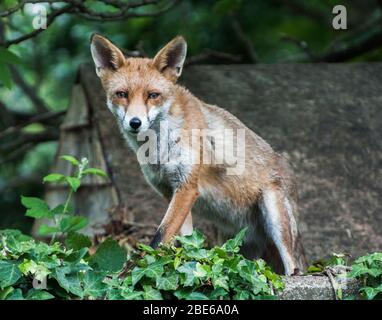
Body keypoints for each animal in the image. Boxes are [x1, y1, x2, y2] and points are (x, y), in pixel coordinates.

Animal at [90, 34, 308, 276]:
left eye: (153, 95)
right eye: (122, 94)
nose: (135, 123)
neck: (159, 148)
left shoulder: (187, 186)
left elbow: (160, 236)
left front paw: (139, 267)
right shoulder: (169, 190)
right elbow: (183, 238)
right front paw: (186, 262)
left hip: (275, 215)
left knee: (294, 268)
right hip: (238, 242)